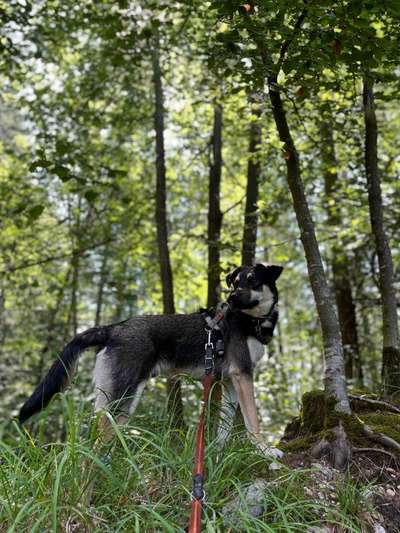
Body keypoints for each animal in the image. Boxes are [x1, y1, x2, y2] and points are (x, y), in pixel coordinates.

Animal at [18, 264, 282, 456]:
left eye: (253, 280)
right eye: (236, 282)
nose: (233, 298)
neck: (250, 321)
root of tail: (113, 329)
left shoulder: (229, 382)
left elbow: (224, 427)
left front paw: (217, 455)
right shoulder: (243, 375)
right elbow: (253, 420)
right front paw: (266, 451)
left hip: (114, 400)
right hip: (123, 398)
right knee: (97, 443)